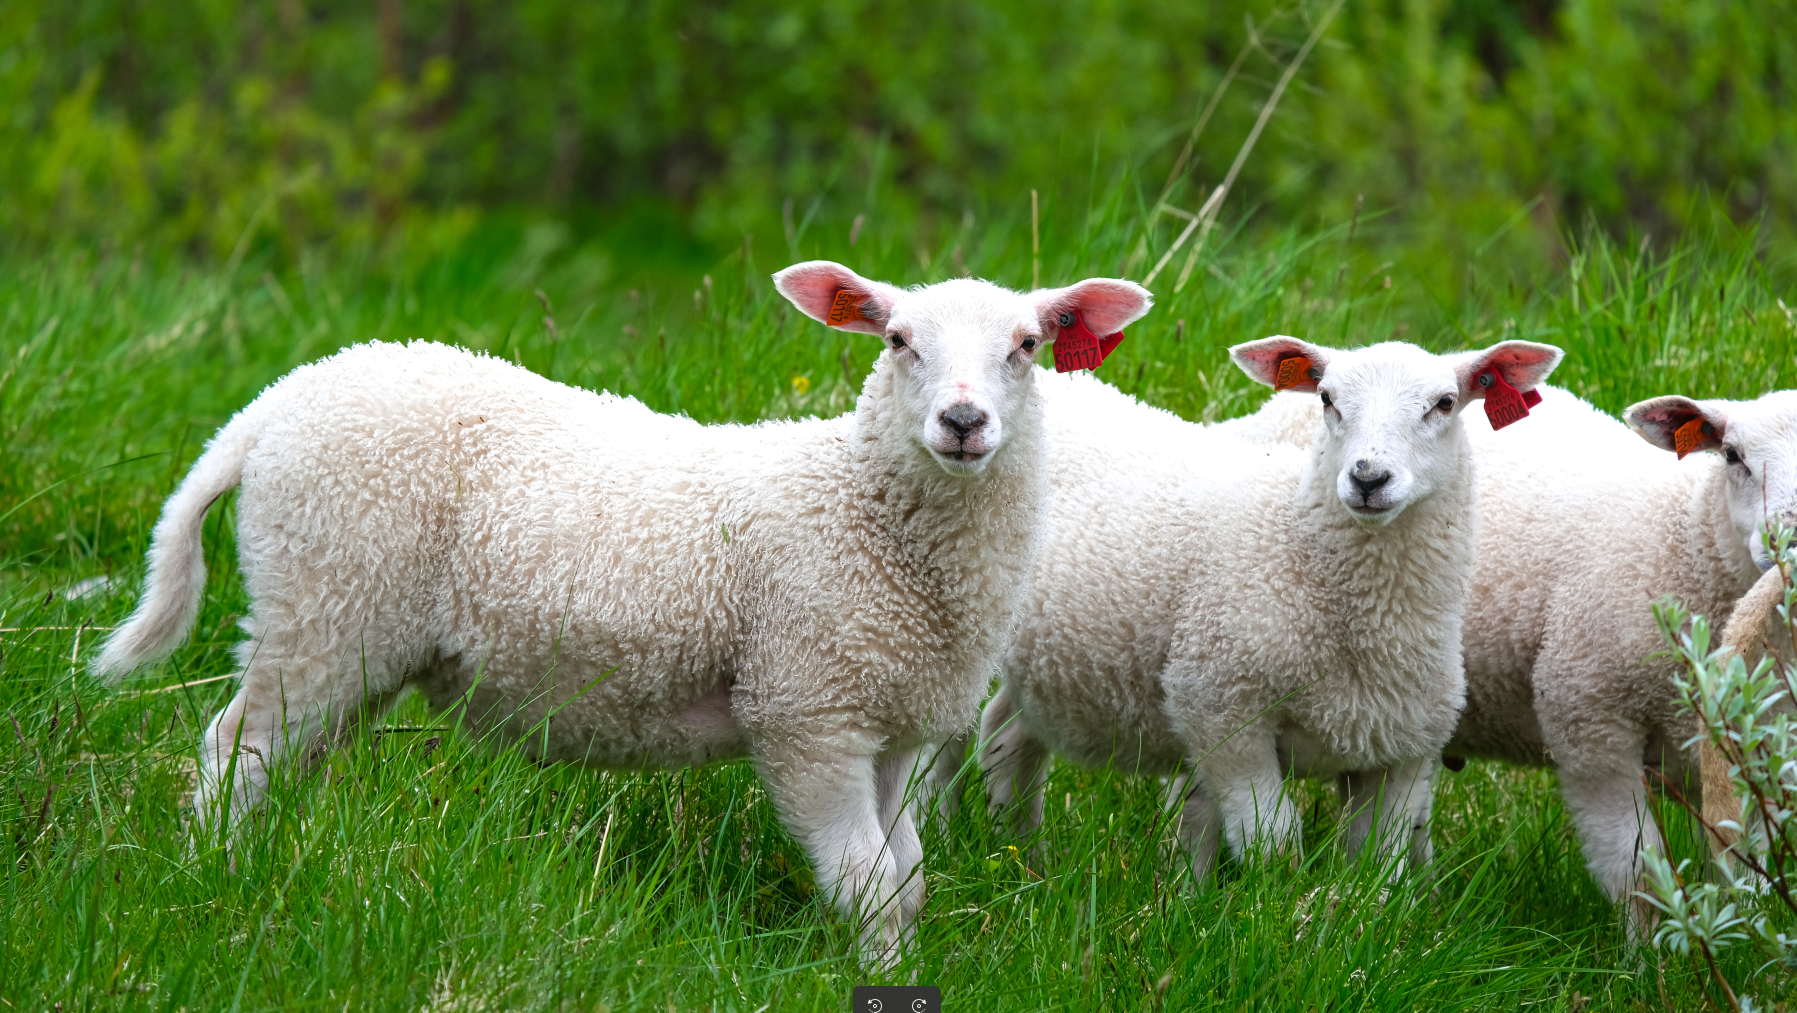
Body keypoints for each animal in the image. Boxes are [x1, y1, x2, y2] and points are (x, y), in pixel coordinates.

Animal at [93, 261, 1154, 965]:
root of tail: (275, 404)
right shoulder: (804, 710)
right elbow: (868, 887)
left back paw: (257, 870)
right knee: (235, 751)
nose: (962, 422)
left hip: (346, 628)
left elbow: (907, 879)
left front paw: (891, 976)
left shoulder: (885, 722)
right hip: (325, 600)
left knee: (281, 760)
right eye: (898, 342)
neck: (861, 509)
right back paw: (211, 881)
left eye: (1027, 346)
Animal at [937, 337, 1561, 877]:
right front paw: (1266, 915)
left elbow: (1378, 865)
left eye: (1445, 403)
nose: (1367, 478)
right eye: (1327, 399)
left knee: (1006, 739)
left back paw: (1023, 860)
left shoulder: (1401, 750)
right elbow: (1272, 841)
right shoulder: (1221, 709)